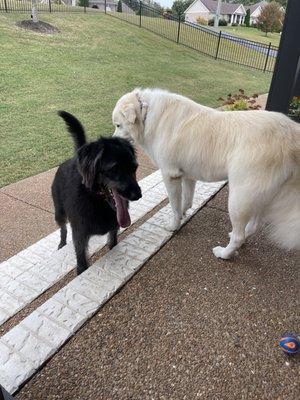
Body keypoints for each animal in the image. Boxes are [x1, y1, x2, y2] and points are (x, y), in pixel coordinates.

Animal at [51, 112, 142, 276]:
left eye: (134, 167)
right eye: (114, 169)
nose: (137, 195)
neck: (96, 200)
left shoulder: (113, 230)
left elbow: (112, 243)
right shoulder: (79, 237)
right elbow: (81, 263)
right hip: (59, 212)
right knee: (63, 228)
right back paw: (62, 243)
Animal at [112, 87, 300, 260]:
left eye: (118, 125)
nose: (113, 142)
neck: (146, 112)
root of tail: (291, 133)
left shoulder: (170, 175)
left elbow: (174, 206)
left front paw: (174, 225)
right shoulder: (187, 176)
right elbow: (186, 201)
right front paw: (184, 214)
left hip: (239, 198)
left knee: (239, 236)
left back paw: (224, 253)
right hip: (258, 196)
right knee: (252, 226)